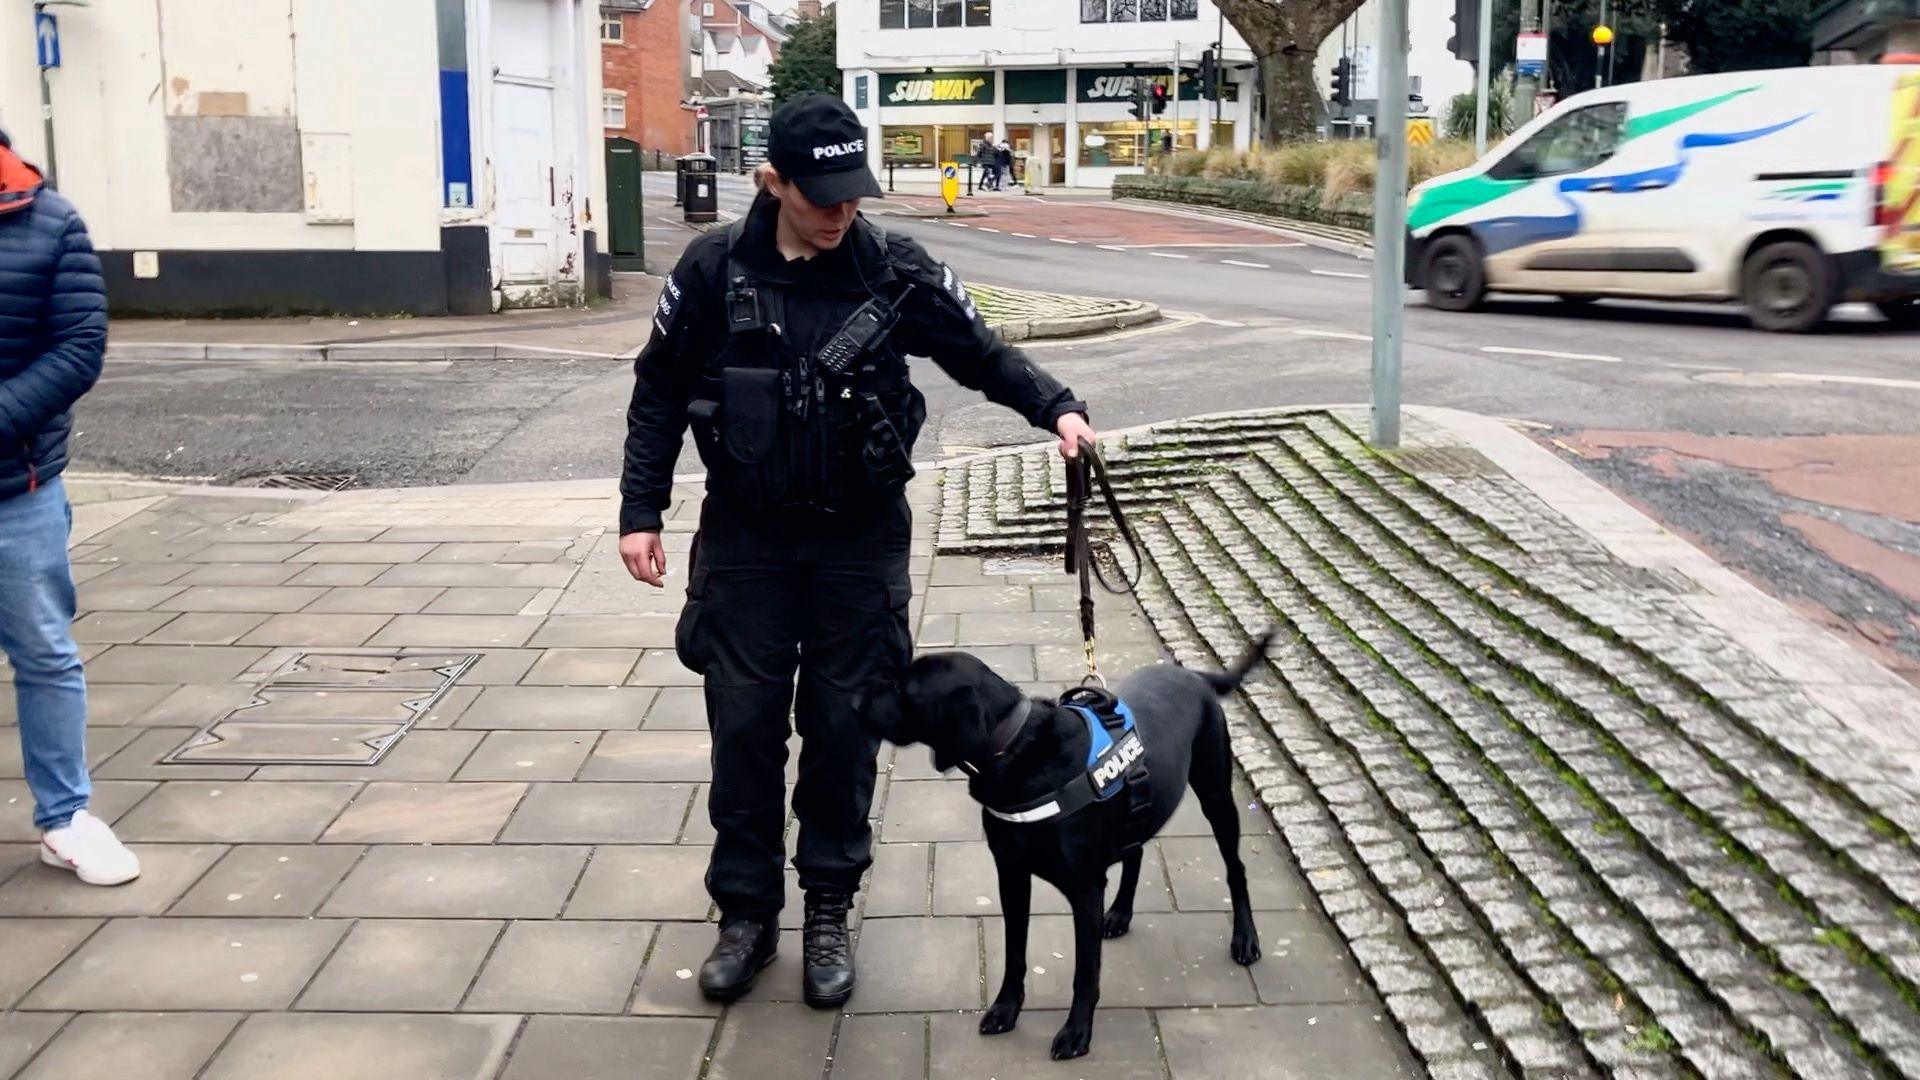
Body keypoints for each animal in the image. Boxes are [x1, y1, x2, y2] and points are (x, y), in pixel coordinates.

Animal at [864, 626, 1267, 1053]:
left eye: (903, 689)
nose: (858, 696)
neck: (1016, 749)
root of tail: (1193, 675)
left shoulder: (1085, 889)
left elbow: (1085, 972)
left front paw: (1076, 1032)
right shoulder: (1011, 874)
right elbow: (1015, 953)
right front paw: (1006, 1009)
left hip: (1216, 794)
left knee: (1235, 867)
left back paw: (1245, 938)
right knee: (1136, 853)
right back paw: (1120, 914)